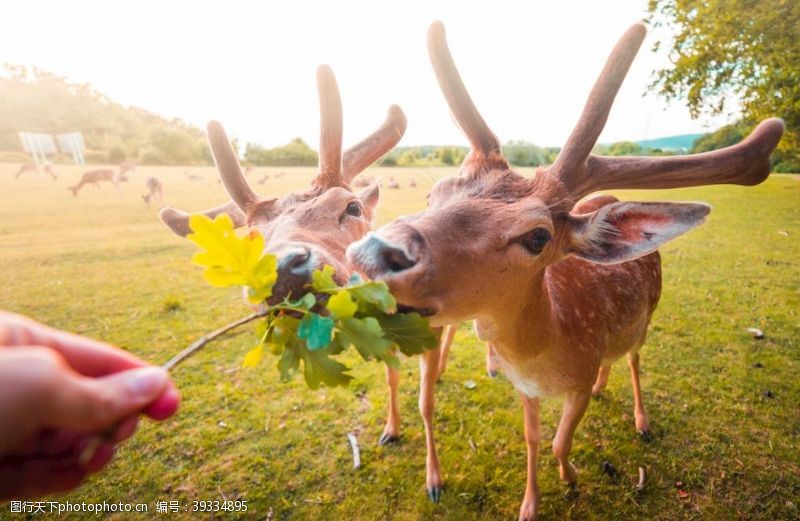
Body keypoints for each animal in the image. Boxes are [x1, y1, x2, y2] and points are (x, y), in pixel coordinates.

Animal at [346, 20, 784, 516]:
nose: (374, 251)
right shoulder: (524, 386)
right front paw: (530, 504)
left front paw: (572, 478)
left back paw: (641, 420)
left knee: (634, 357)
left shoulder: (577, 376)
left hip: (649, 312)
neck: (547, 353)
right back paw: (603, 388)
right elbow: (534, 438)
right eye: (433, 194)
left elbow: (561, 441)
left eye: (537, 236)